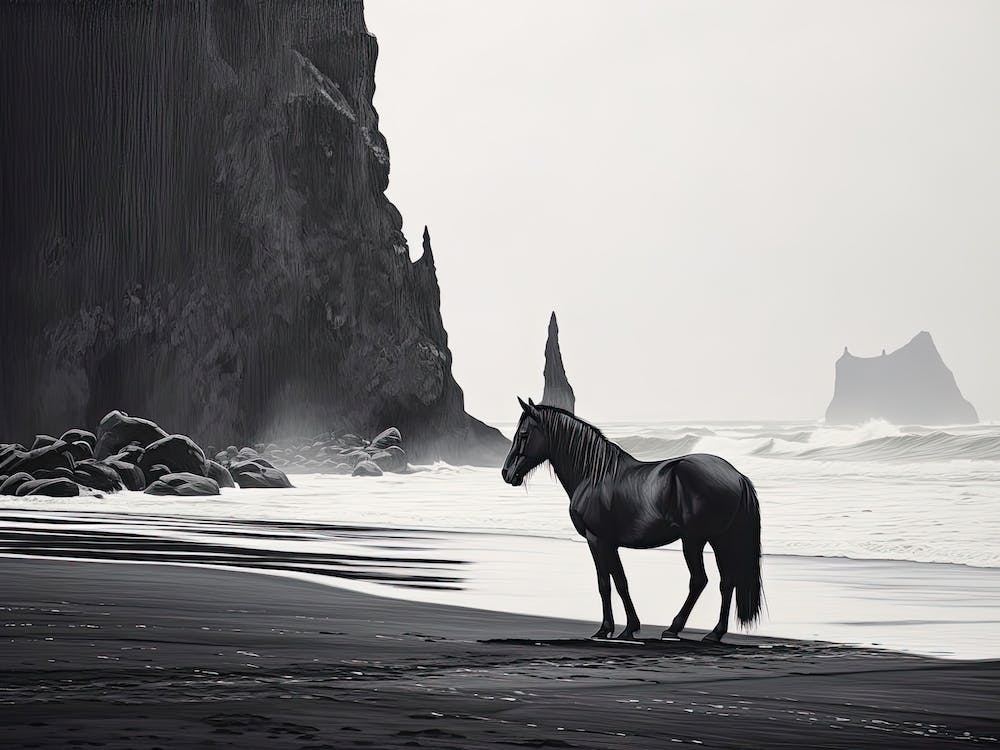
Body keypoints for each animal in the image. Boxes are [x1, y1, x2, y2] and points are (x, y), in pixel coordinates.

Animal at [501, 397, 763, 643]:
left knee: (700, 580)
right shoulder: (610, 543)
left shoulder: (597, 540)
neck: (594, 475)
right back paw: (714, 633)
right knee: (727, 582)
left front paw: (605, 629)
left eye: (523, 434)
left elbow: (605, 584)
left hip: (695, 540)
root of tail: (737, 476)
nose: (506, 473)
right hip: (720, 539)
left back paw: (674, 629)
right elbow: (620, 582)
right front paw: (629, 628)